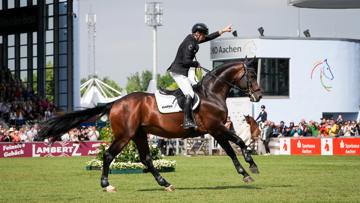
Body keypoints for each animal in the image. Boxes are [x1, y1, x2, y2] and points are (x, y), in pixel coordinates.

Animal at [38, 61, 262, 192]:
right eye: (251, 76)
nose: (258, 96)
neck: (211, 94)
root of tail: (115, 103)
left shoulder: (215, 130)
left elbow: (232, 150)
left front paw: (247, 172)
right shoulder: (216, 127)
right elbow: (238, 142)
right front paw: (251, 166)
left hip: (138, 135)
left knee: (146, 159)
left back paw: (166, 183)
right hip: (124, 135)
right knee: (109, 155)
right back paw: (106, 185)